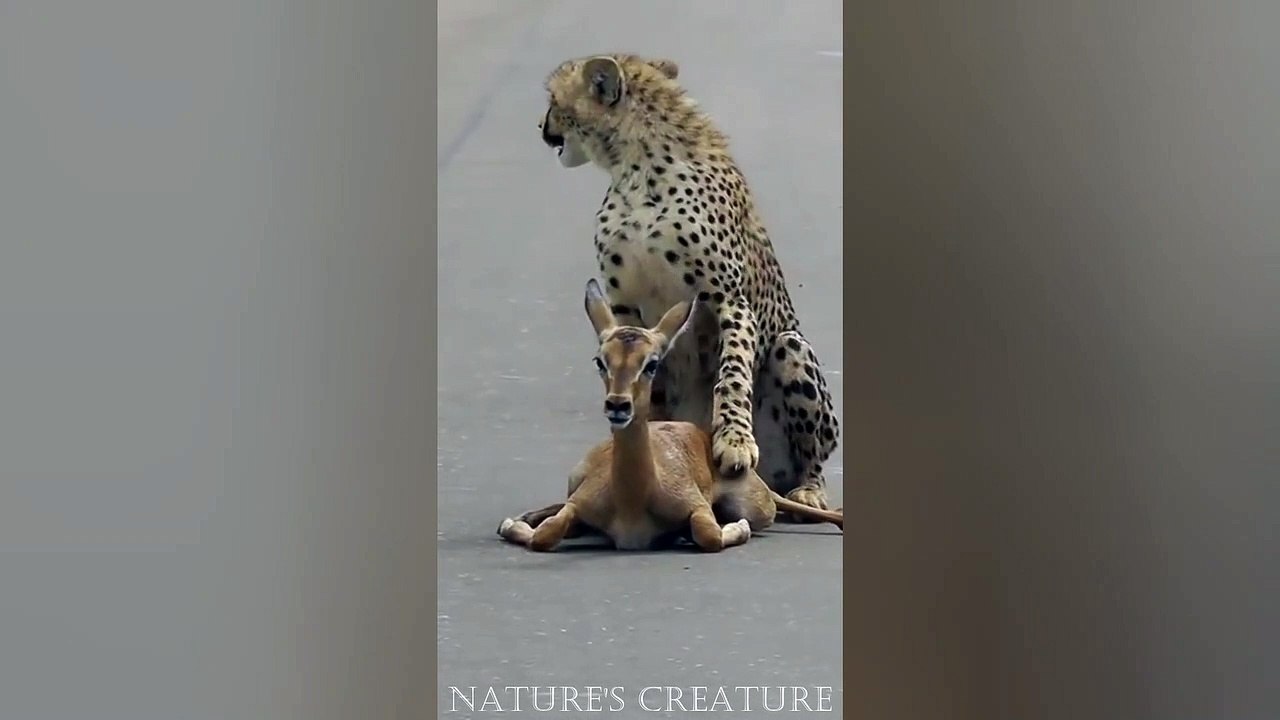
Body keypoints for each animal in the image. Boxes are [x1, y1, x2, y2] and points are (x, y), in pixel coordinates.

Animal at [527, 53, 841, 523]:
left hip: (791, 346)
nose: (542, 126)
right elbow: (642, 379)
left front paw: (734, 441)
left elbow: (732, 374)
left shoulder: (729, 300)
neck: (636, 169)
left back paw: (807, 492)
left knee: (814, 456)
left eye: (554, 99)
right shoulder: (623, 307)